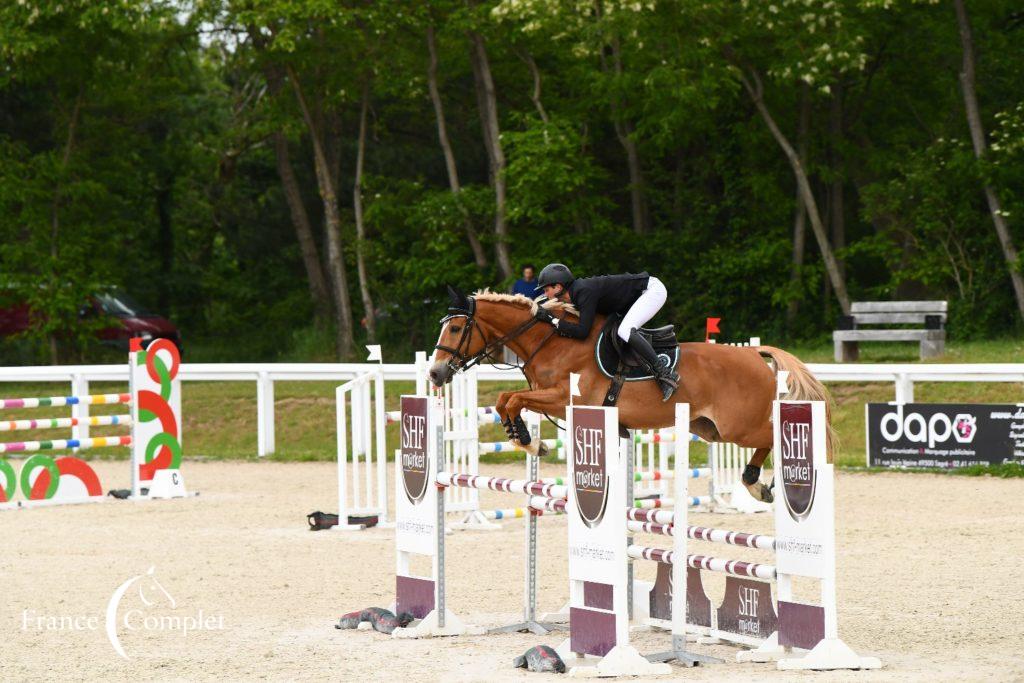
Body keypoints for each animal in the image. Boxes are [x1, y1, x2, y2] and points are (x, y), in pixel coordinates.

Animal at [428, 286, 835, 505]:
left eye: (458, 328)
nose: (435, 373)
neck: (552, 342)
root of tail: (753, 354)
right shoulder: (548, 396)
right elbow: (505, 400)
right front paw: (525, 439)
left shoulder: (565, 398)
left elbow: (513, 400)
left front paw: (529, 441)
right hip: (711, 429)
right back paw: (755, 483)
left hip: (739, 426)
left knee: (774, 434)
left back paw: (760, 483)